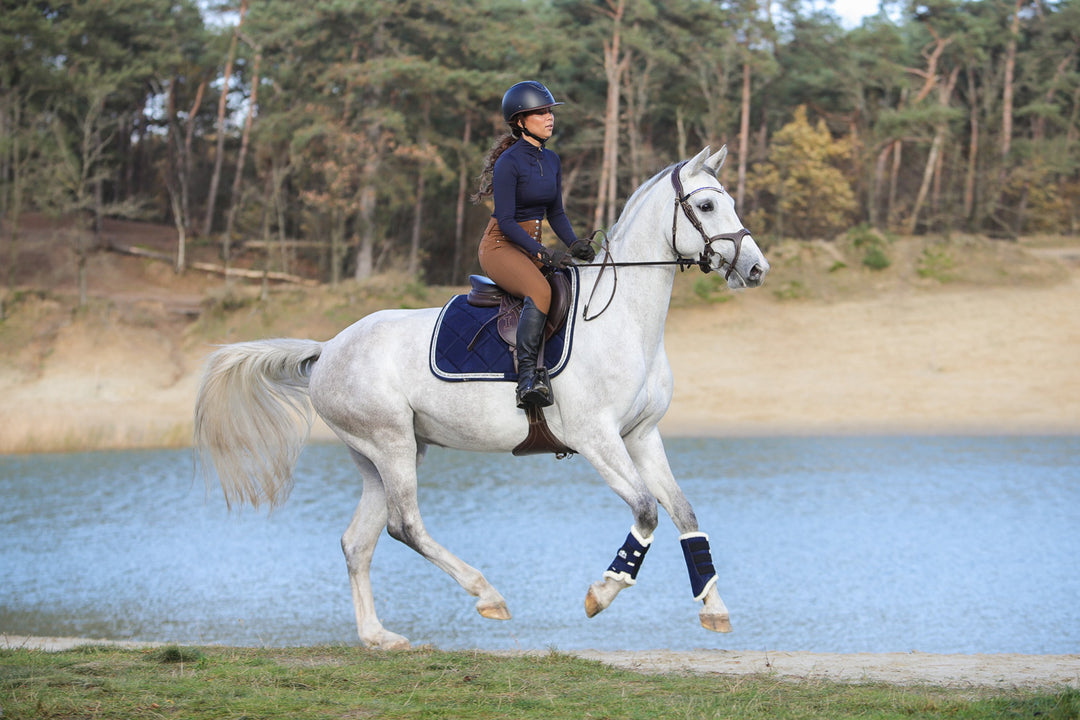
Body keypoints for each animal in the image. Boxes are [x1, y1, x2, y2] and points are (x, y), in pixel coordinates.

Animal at [194, 144, 768, 647]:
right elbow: (647, 511)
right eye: (706, 205)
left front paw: (714, 607)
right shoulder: (597, 438)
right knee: (405, 525)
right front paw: (602, 593)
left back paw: (378, 637)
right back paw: (487, 594)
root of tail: (329, 347)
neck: (621, 317)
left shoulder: (641, 436)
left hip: (379, 455)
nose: (756, 269)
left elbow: (684, 513)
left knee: (358, 543)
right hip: (392, 443)